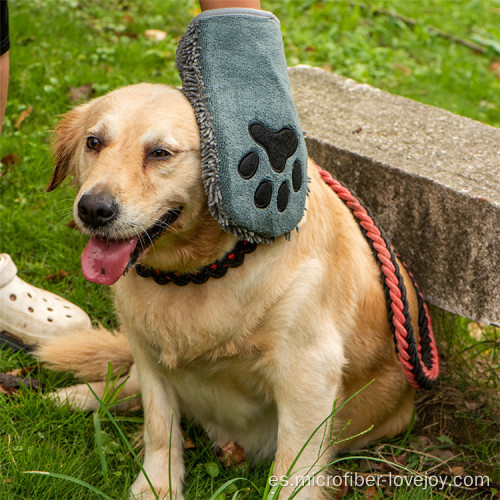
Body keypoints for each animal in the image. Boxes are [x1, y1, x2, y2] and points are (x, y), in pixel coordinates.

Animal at [40, 84, 422, 498]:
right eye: (93, 142)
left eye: (160, 153)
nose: (93, 209)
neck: (197, 272)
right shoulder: (148, 352)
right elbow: (160, 426)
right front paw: (158, 485)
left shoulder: (309, 371)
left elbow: (292, 473)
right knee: (126, 386)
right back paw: (78, 396)